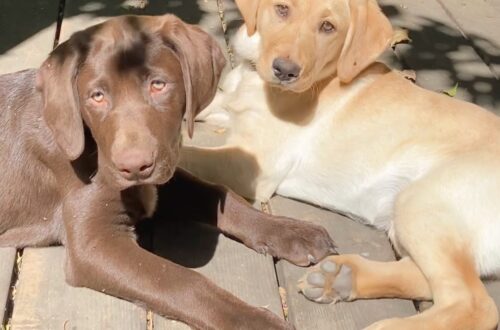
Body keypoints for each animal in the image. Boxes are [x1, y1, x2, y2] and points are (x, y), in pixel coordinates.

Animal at [182, 1, 500, 328]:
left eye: (328, 27)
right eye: (282, 9)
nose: (285, 71)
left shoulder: (250, 164)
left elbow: (188, 154)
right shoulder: (225, 107)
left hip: (423, 201)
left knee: (475, 302)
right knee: (431, 279)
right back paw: (339, 279)